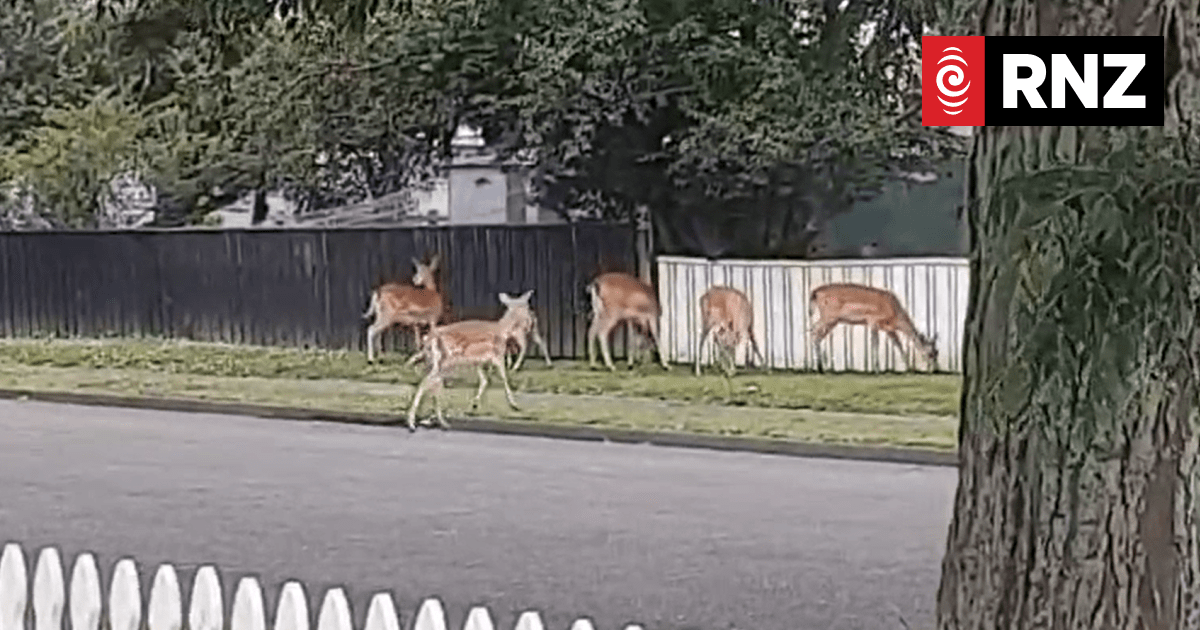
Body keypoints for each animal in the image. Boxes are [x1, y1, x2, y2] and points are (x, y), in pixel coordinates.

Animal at [808, 283, 939, 372]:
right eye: (931, 353)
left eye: (937, 352)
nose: (936, 369)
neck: (895, 315)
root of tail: (815, 293)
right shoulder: (873, 321)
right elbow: (875, 343)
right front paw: (876, 369)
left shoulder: (888, 329)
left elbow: (898, 344)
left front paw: (909, 367)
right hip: (828, 316)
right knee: (813, 331)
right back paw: (819, 367)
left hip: (833, 321)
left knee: (817, 335)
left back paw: (822, 366)